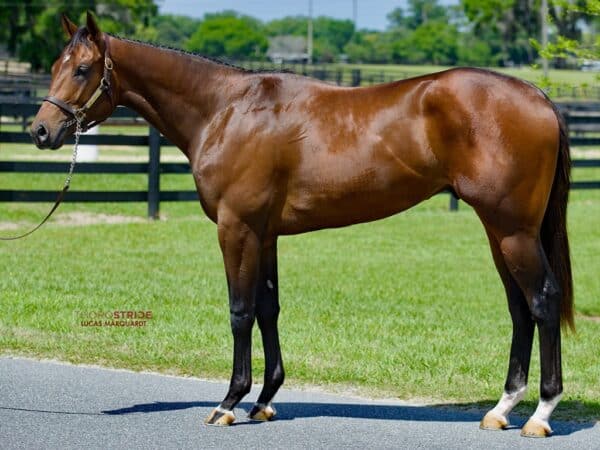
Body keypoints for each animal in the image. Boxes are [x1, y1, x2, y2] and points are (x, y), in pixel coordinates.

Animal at [30, 14, 576, 436]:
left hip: (513, 231)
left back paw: (540, 414)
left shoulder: (237, 229)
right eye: (55, 66)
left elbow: (240, 311)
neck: (226, 110)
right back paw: (501, 409)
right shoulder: (265, 234)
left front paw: (229, 403)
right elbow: (268, 309)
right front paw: (264, 401)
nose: (40, 130)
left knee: (543, 300)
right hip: (499, 231)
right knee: (520, 308)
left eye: (82, 69)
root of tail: (538, 96)